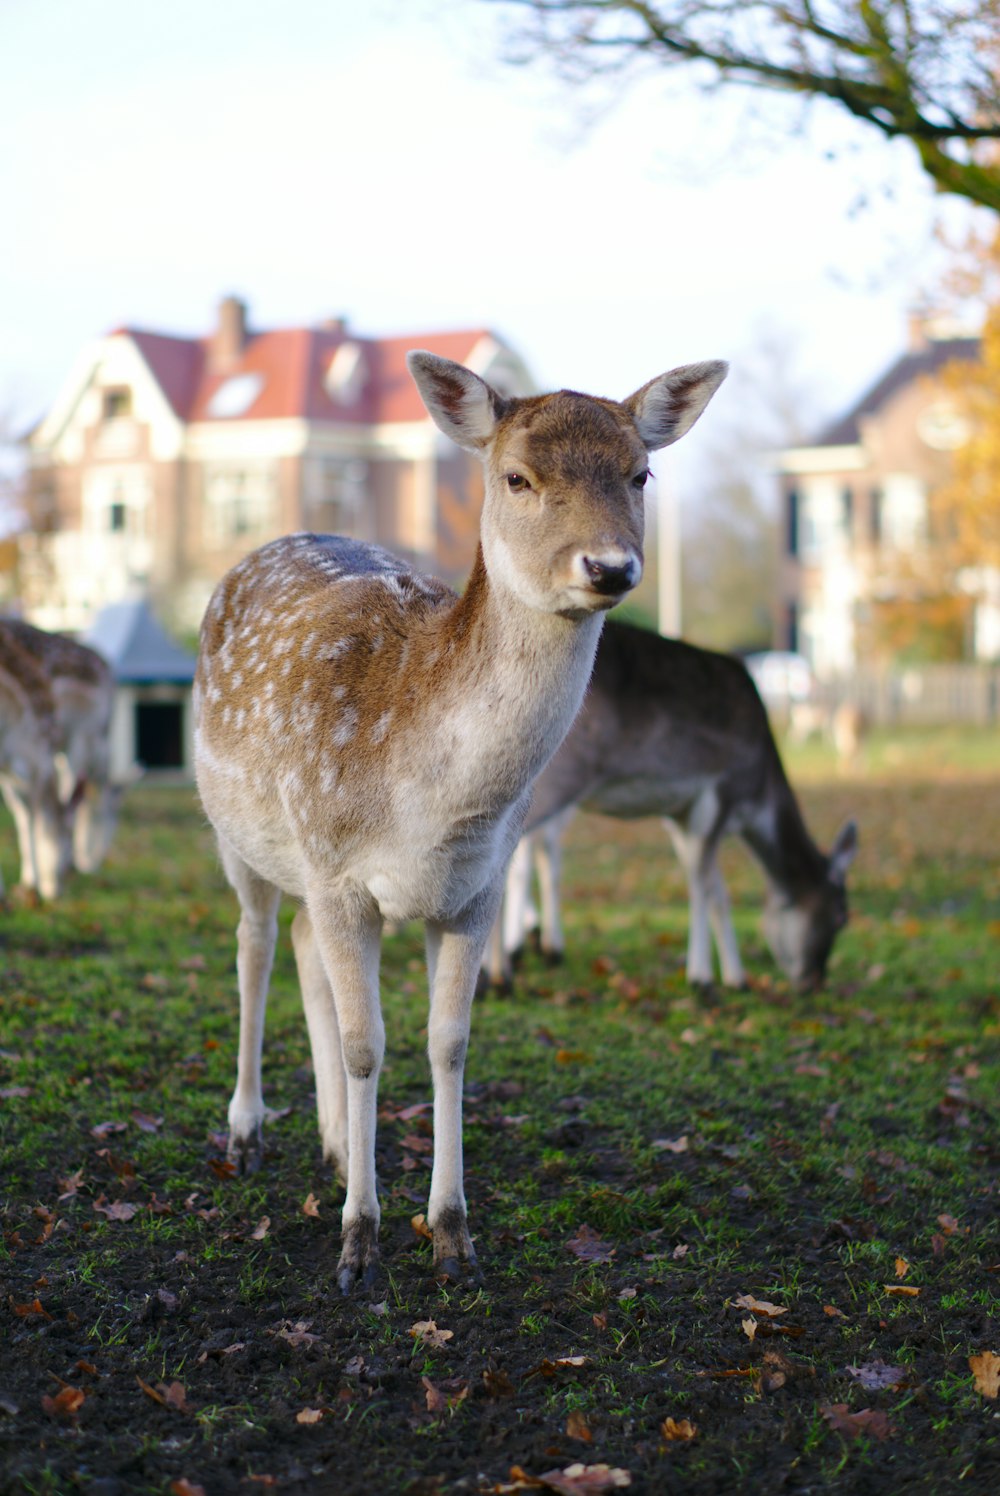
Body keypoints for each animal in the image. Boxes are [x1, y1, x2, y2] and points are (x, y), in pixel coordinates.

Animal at [193, 350, 727, 1286]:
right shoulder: (339, 870)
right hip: (243, 838)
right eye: (517, 477)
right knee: (254, 945)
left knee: (299, 946)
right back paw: (249, 1131)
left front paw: (451, 1234)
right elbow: (368, 1043)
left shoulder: (478, 887)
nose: (610, 567)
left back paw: (336, 1144)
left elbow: (448, 1043)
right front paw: (359, 1245)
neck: (434, 805)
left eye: (641, 473)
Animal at [488, 619, 856, 993]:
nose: (815, 979)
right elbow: (702, 884)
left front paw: (736, 978)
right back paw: (501, 974)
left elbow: (716, 890)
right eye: (842, 916)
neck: (756, 798)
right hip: (558, 777)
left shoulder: (679, 814)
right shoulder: (719, 792)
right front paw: (703, 979)